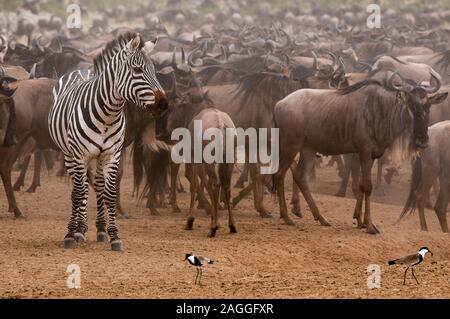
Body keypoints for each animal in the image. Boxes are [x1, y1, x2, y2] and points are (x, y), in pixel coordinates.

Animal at [48, 33, 169, 252]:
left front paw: (114, 236)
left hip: (96, 156)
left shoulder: (112, 154)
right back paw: (78, 229)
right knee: (79, 189)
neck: (108, 114)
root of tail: (83, 69)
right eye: (137, 70)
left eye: (155, 71)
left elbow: (109, 193)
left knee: (95, 184)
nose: (163, 104)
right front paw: (70, 235)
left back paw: (98, 229)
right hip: (69, 154)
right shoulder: (79, 155)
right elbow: (79, 193)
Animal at [274, 70, 446, 235]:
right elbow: (367, 186)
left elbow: (362, 185)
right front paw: (369, 225)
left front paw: (360, 220)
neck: (381, 110)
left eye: (428, 106)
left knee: (300, 177)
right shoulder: (364, 152)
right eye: (411, 105)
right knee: (280, 174)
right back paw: (287, 217)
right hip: (291, 146)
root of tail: (280, 103)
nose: (422, 141)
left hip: (308, 149)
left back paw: (321, 218)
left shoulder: (371, 155)